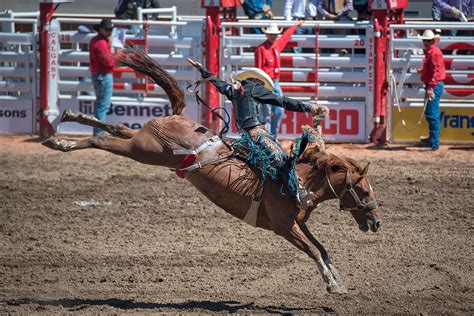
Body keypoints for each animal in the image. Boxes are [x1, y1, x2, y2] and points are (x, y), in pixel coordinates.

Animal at [40, 50, 382, 296]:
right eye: (364, 191)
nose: (377, 223)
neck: (298, 180)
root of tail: (178, 117)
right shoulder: (285, 227)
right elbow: (313, 250)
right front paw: (333, 284)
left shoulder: (299, 223)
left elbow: (322, 248)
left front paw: (337, 278)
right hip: (145, 151)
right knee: (102, 141)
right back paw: (59, 141)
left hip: (144, 143)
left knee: (116, 128)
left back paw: (70, 116)